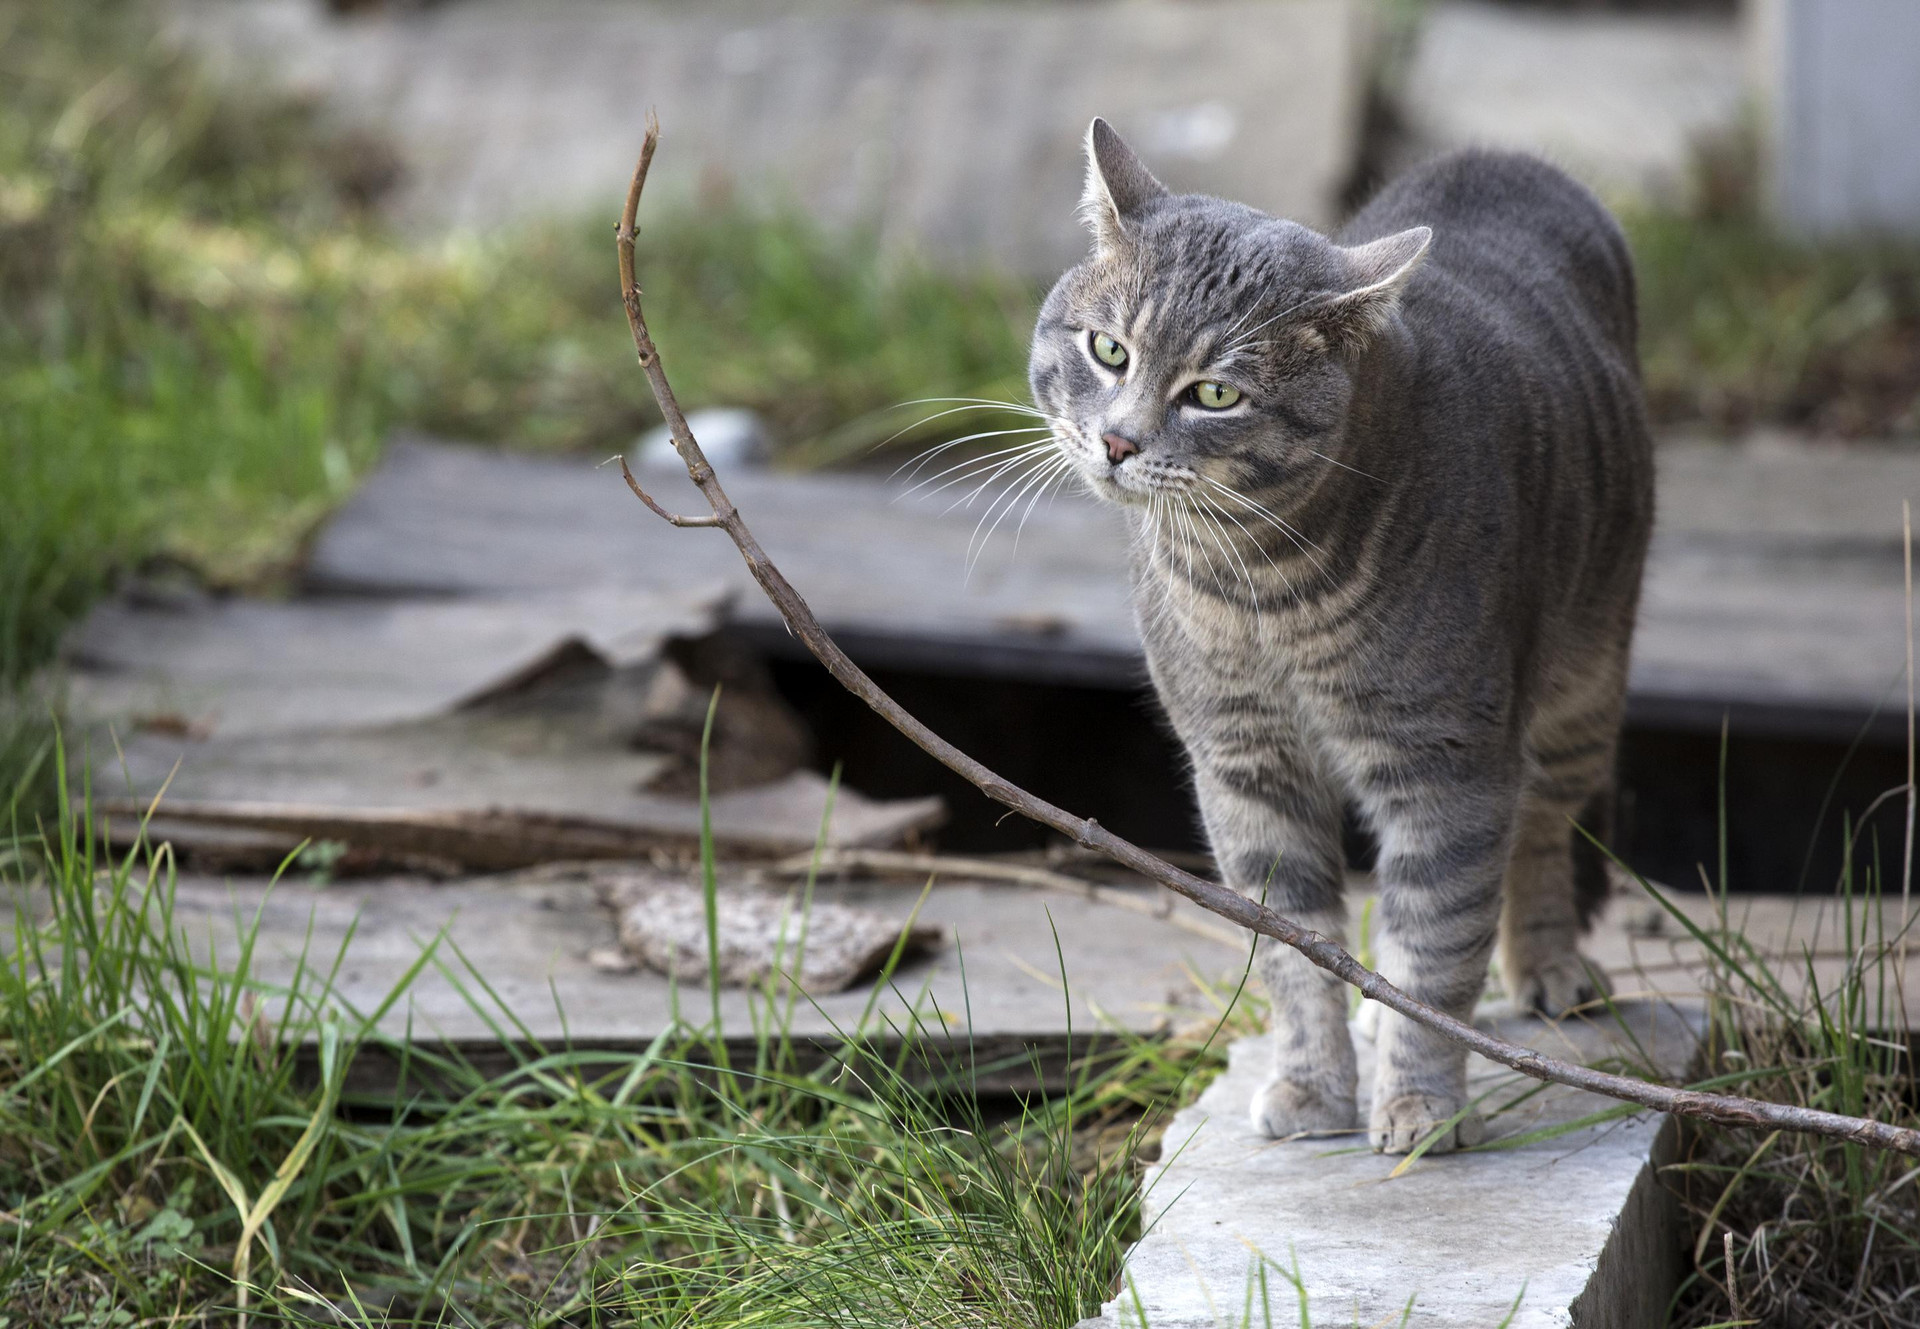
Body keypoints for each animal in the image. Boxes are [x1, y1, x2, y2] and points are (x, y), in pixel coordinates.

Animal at [1036, 121, 1651, 1152]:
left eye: (1214, 394)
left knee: (1539, 828)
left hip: (1584, 680)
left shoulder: (1449, 766)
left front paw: (1422, 1104)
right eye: (1108, 350)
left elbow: (1437, 946)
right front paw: (1316, 1085)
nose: (1118, 442)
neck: (1262, 590)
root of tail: (1504, 156)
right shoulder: (1244, 766)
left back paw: (1544, 964)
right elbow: (1294, 952)